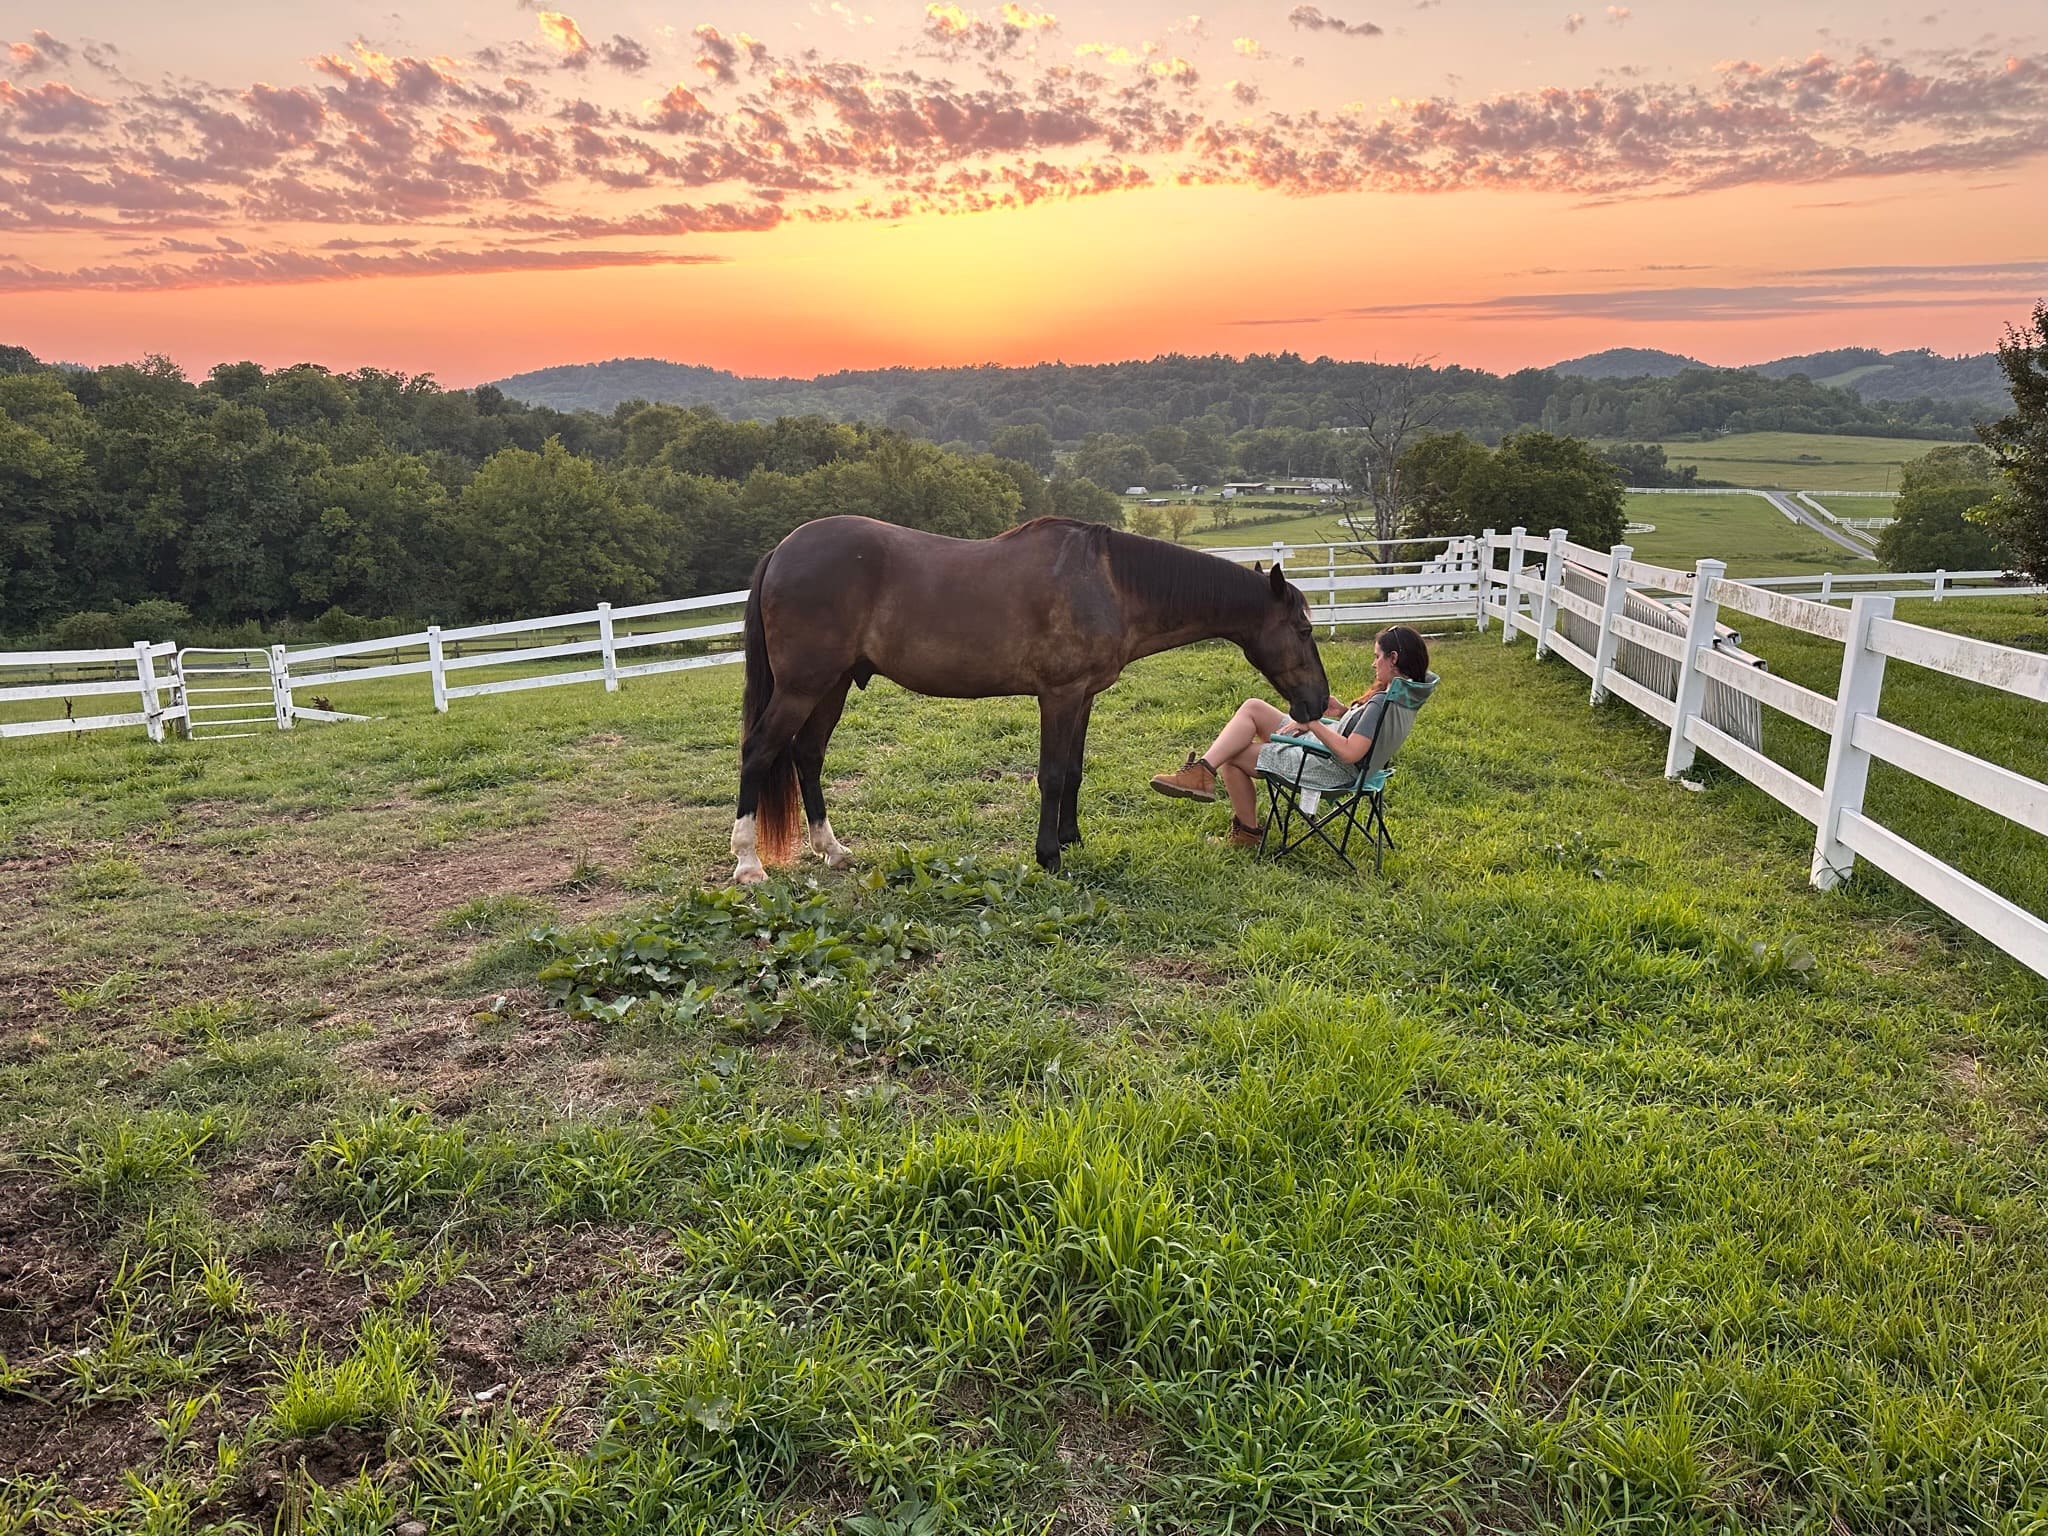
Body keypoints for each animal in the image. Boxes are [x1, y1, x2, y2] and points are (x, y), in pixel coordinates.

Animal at [729, 514, 1332, 883]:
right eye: (1304, 629)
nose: (1317, 704)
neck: (1109, 584)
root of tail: (782, 550)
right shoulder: (1058, 696)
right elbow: (1052, 774)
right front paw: (1048, 856)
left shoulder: (1083, 696)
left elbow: (1075, 770)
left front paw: (1071, 838)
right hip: (803, 686)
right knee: (759, 752)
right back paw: (748, 864)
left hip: (830, 686)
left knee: (807, 755)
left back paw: (832, 850)